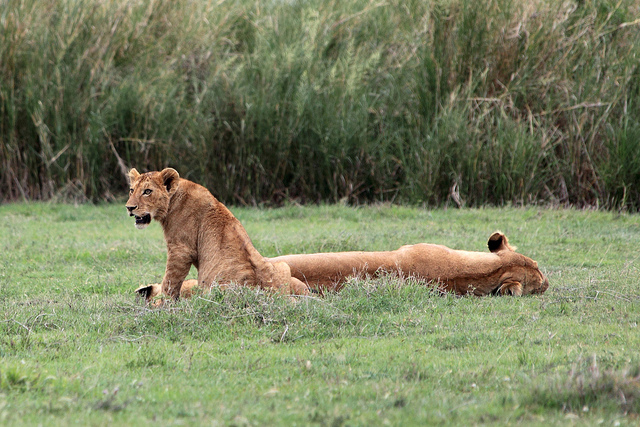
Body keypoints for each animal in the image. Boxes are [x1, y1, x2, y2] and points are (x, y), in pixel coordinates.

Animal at [126, 168, 309, 302]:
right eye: (131, 190)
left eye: (147, 191)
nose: (129, 207)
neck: (174, 200)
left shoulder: (180, 249)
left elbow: (170, 281)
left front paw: (161, 304)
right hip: (282, 265)